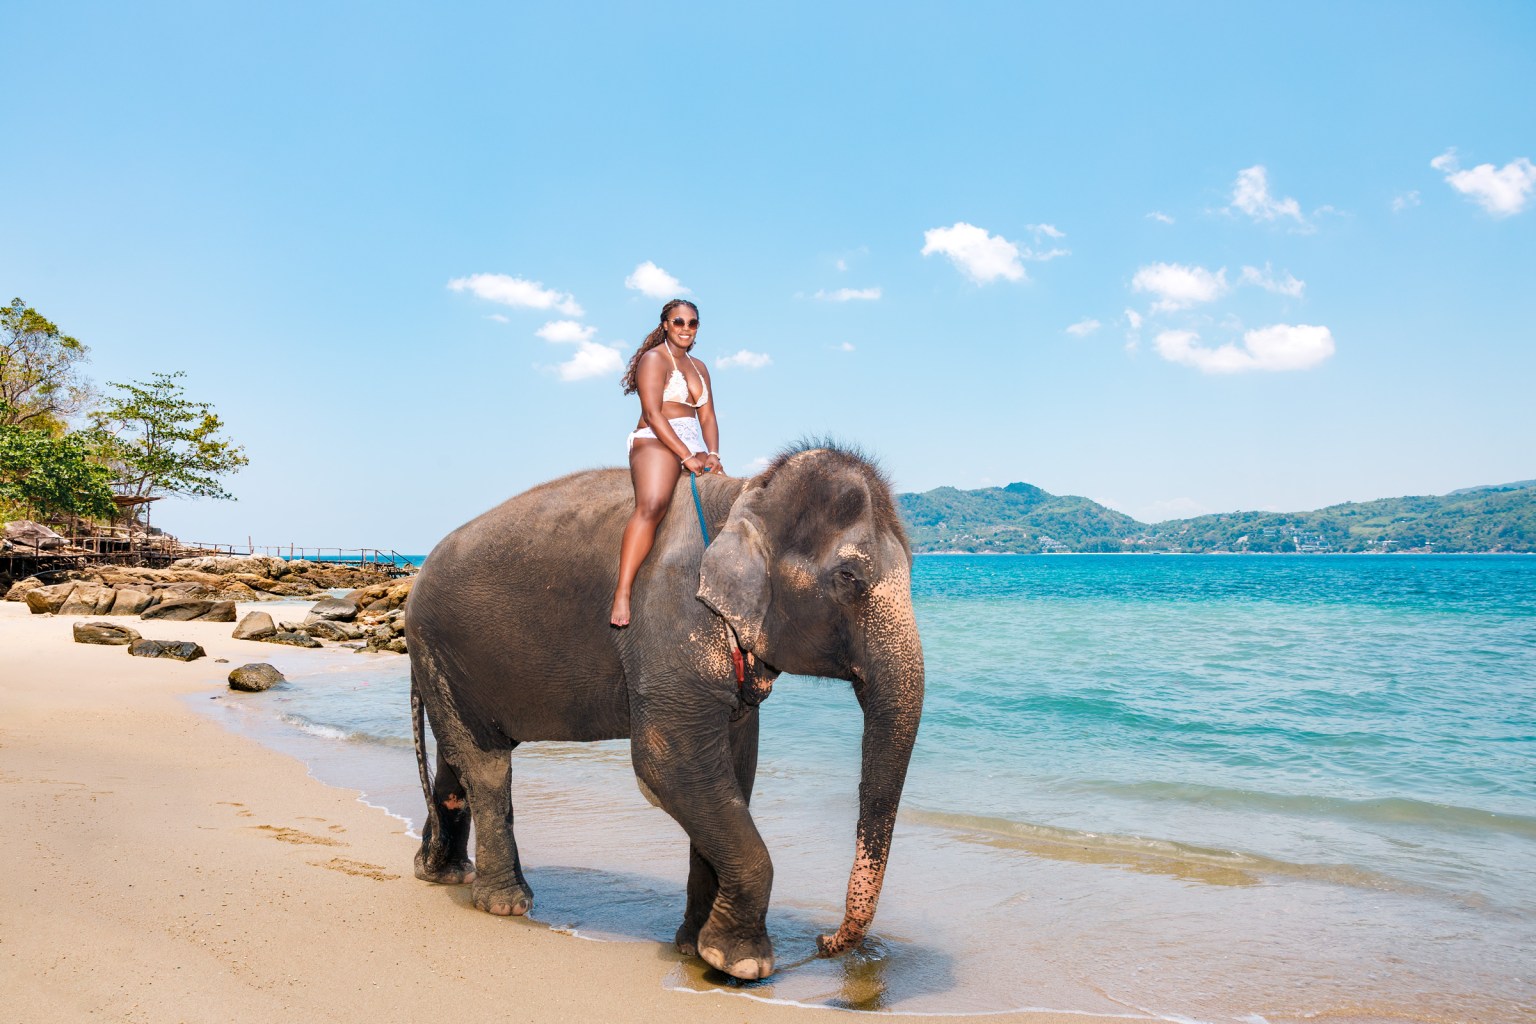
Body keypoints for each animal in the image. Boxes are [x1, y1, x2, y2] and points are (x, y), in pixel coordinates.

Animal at [405, 442, 924, 981]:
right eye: (849, 578)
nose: (824, 942)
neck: (745, 495)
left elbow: (733, 771)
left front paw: (695, 949)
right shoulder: (673, 615)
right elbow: (670, 764)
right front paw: (741, 965)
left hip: (448, 662)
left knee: (456, 762)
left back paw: (441, 872)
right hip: (438, 643)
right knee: (486, 766)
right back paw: (506, 904)